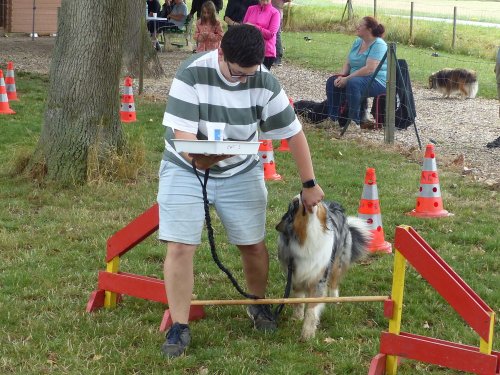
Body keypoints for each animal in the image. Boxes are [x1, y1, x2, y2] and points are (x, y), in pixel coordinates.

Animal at [276, 197, 370, 340]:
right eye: (295, 204)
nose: (301, 195)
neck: (309, 235)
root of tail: (334, 205)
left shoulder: (318, 279)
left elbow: (311, 310)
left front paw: (307, 334)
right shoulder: (296, 275)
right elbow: (298, 300)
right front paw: (297, 318)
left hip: (337, 262)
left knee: (334, 284)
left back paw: (335, 301)